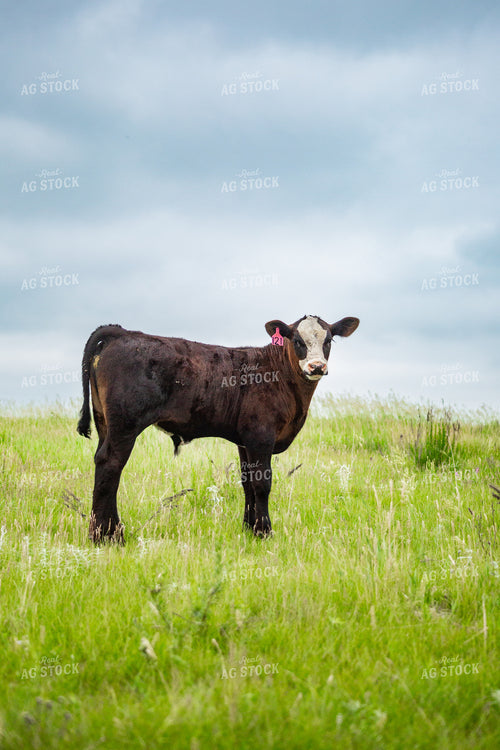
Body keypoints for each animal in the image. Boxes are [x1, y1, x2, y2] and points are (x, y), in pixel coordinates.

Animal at [77, 314, 359, 543]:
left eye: (328, 340)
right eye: (297, 340)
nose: (317, 367)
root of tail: (123, 333)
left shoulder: (245, 440)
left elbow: (247, 482)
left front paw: (250, 529)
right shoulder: (261, 436)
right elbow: (262, 483)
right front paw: (265, 532)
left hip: (104, 422)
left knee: (102, 462)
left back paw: (103, 532)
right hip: (125, 424)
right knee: (110, 466)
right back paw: (108, 536)